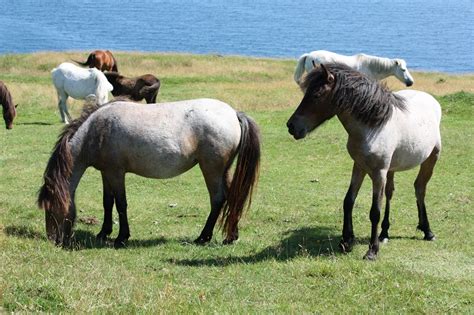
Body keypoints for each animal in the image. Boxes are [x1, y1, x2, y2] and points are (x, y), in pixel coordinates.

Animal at [37, 99, 262, 249]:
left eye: (51, 207)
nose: (53, 240)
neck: (96, 131)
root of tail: (234, 114)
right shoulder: (106, 173)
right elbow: (107, 202)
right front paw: (104, 232)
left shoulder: (116, 173)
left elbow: (121, 204)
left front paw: (121, 237)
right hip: (223, 170)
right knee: (232, 198)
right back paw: (231, 236)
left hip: (211, 170)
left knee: (217, 199)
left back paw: (203, 237)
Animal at [286, 63, 442, 262]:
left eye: (317, 95)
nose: (291, 126)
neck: (374, 126)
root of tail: (430, 99)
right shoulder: (359, 166)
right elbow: (348, 201)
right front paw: (346, 240)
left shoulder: (378, 173)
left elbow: (375, 211)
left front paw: (372, 251)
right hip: (392, 168)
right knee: (390, 193)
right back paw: (385, 234)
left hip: (431, 159)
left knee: (420, 188)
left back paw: (427, 231)